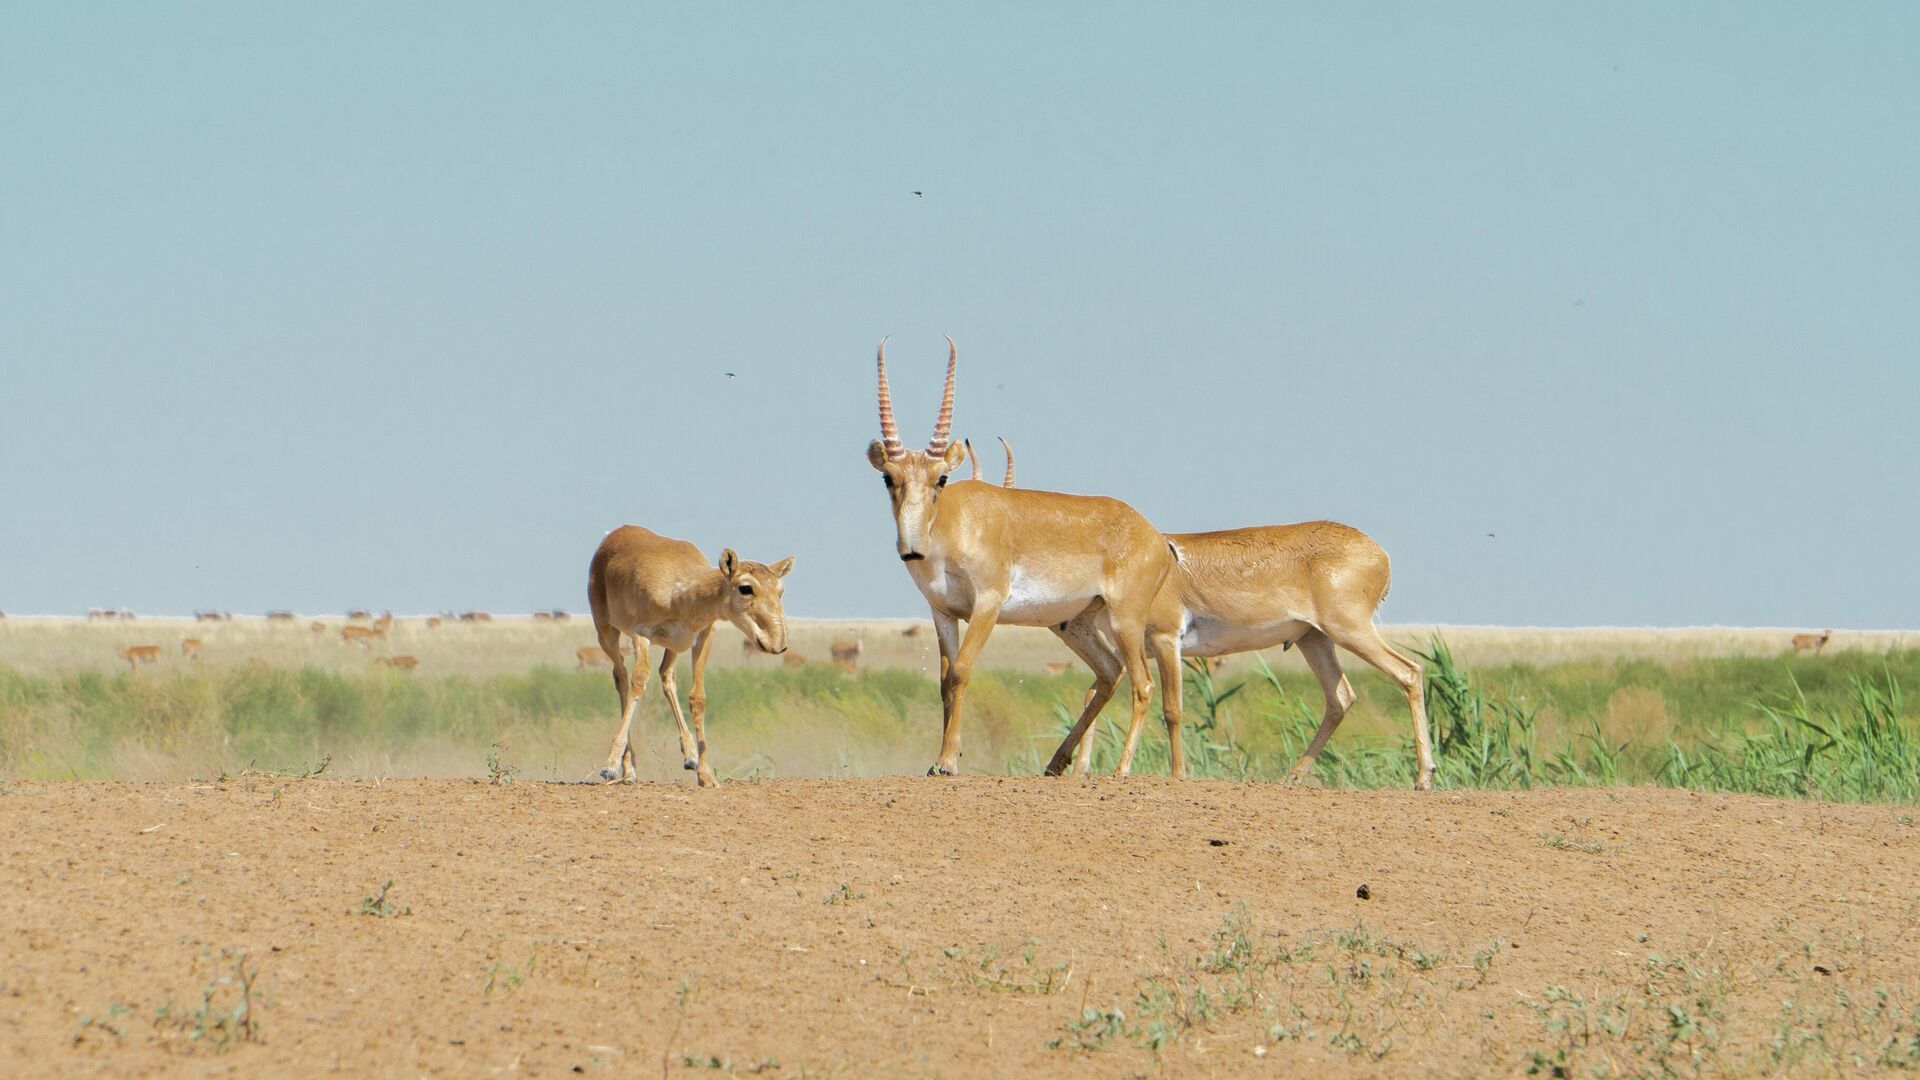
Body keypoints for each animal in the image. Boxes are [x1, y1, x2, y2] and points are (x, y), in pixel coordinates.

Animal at [583, 526, 794, 787]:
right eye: (746, 587)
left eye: (780, 590)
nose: (778, 644)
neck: (683, 592)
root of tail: (615, 534)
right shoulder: (641, 634)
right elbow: (638, 681)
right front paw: (610, 765)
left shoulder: (703, 636)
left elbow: (697, 697)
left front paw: (705, 774)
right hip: (606, 633)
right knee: (621, 677)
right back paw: (628, 769)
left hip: (672, 646)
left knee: (666, 677)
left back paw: (689, 755)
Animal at [871, 336, 1182, 772]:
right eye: (889, 478)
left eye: (941, 478)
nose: (911, 550)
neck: (955, 522)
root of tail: (1156, 538)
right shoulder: (943, 613)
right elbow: (945, 681)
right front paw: (941, 759)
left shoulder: (987, 604)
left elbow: (962, 671)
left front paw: (948, 763)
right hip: (1074, 624)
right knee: (1110, 673)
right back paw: (1055, 764)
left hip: (1126, 622)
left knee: (1143, 684)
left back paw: (1120, 771)